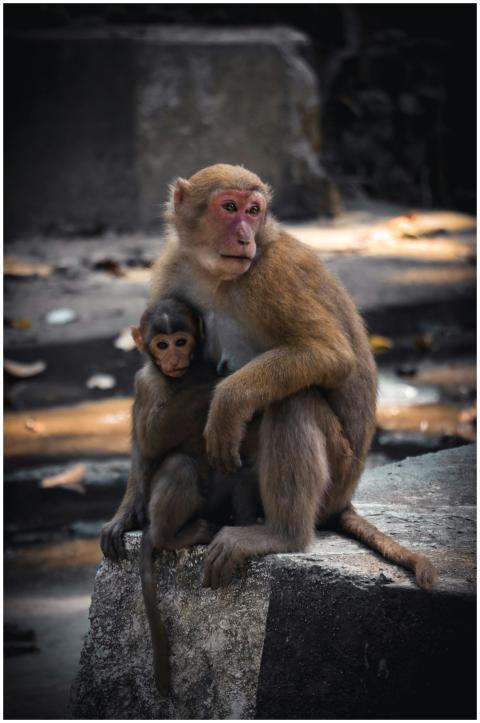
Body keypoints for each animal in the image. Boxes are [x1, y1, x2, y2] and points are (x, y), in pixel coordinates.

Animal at [103, 163, 437, 592]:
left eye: (254, 210)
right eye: (229, 207)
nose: (245, 236)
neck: (216, 276)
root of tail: (345, 499)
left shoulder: (273, 278)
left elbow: (329, 354)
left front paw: (227, 401)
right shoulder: (172, 270)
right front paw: (127, 511)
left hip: (337, 473)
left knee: (293, 400)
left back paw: (283, 534)